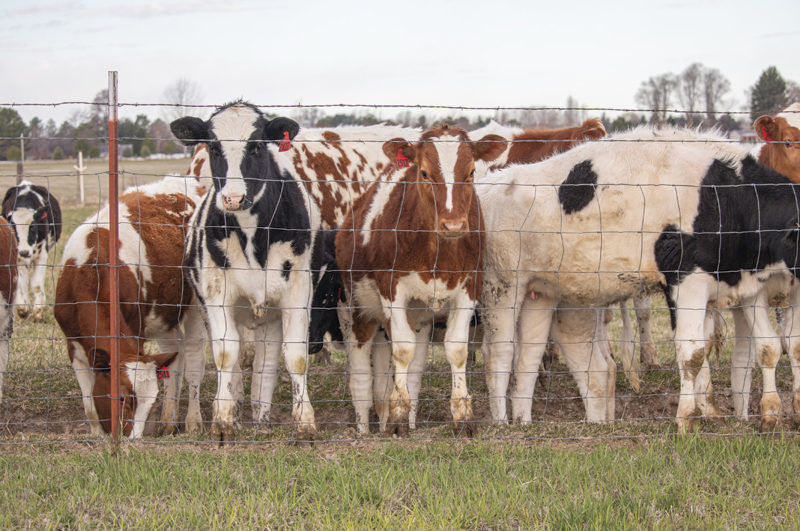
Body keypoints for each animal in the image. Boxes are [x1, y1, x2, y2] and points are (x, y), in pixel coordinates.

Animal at [1, 181, 61, 322]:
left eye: (33, 227)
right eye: (13, 228)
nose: (24, 252)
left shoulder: (42, 255)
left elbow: (37, 284)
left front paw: (38, 311)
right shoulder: (17, 258)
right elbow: (20, 283)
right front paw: (23, 309)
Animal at [55, 158, 209, 440]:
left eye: (150, 402)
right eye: (122, 398)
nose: (133, 440)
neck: (90, 268)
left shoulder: (135, 330)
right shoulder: (75, 347)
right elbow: (88, 401)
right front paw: (97, 433)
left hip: (195, 306)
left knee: (193, 358)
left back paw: (193, 421)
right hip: (165, 316)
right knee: (175, 356)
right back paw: (168, 421)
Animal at [173, 102, 324, 442]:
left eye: (256, 146)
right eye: (214, 147)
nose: (232, 198)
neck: (255, 236)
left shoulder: (298, 293)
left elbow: (295, 356)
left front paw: (305, 421)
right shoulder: (217, 297)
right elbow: (225, 354)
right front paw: (223, 417)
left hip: (270, 318)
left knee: (265, 361)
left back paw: (261, 415)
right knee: (234, 357)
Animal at [334, 125, 504, 436]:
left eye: (471, 171)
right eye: (424, 172)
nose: (453, 225)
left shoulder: (469, 287)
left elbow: (456, 349)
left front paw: (462, 415)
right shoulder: (392, 290)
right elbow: (402, 350)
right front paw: (398, 417)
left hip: (419, 318)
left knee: (411, 368)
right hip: (358, 310)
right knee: (361, 371)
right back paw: (365, 427)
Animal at [478, 127, 800, 434]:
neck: (722, 200)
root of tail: (489, 187)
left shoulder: (747, 287)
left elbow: (771, 347)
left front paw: (768, 416)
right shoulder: (686, 282)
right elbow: (692, 353)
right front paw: (686, 420)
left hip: (540, 293)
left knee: (528, 358)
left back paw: (524, 422)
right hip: (502, 288)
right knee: (500, 355)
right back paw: (500, 423)